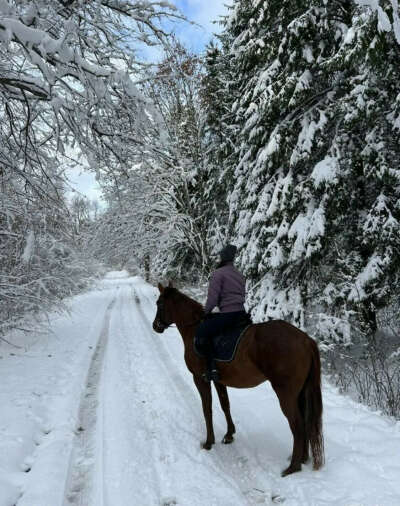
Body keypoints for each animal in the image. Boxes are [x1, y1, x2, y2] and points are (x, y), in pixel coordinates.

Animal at [152, 282, 324, 476]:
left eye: (159, 303)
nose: (155, 326)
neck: (194, 328)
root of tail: (306, 340)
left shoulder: (200, 379)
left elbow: (207, 408)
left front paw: (208, 442)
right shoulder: (218, 380)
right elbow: (224, 404)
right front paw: (229, 435)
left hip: (286, 394)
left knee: (297, 425)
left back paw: (293, 467)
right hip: (300, 393)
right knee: (305, 422)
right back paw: (302, 459)